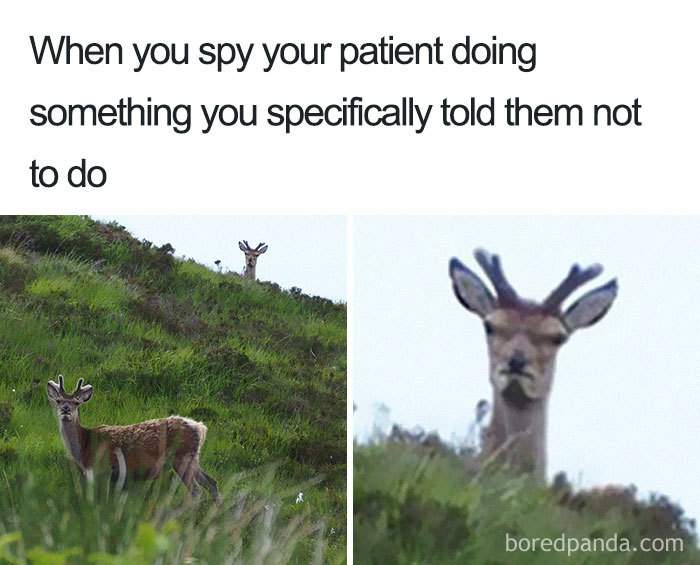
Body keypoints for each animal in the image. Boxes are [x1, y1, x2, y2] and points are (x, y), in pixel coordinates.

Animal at [46, 375, 221, 504]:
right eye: (58, 400)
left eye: (76, 402)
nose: (65, 409)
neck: (84, 445)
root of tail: (200, 428)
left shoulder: (102, 468)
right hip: (193, 458)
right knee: (212, 483)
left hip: (181, 457)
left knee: (196, 491)